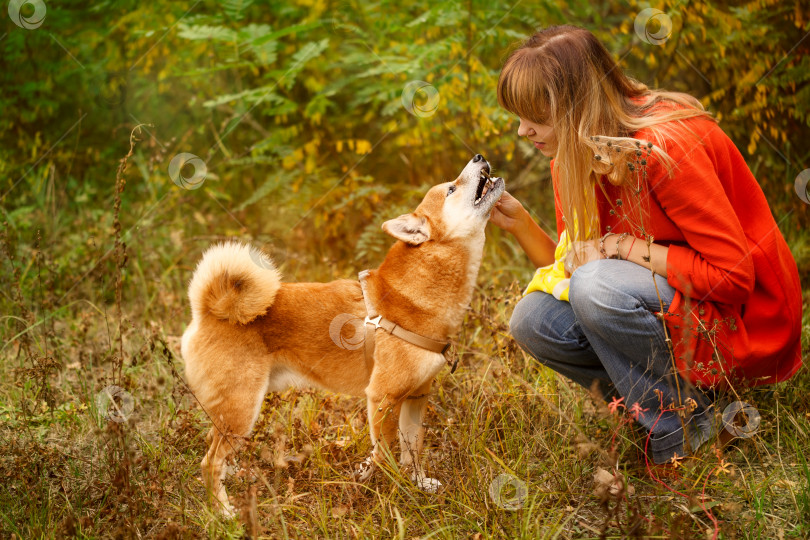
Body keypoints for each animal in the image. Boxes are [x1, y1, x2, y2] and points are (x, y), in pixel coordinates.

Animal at [180, 153, 502, 516]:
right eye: (451, 189)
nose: (479, 157)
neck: (419, 293)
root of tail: (208, 311)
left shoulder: (417, 397)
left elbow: (413, 450)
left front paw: (418, 484)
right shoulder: (383, 398)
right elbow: (387, 454)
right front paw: (393, 492)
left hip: (233, 412)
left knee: (214, 447)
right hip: (241, 409)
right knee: (209, 462)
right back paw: (223, 513)